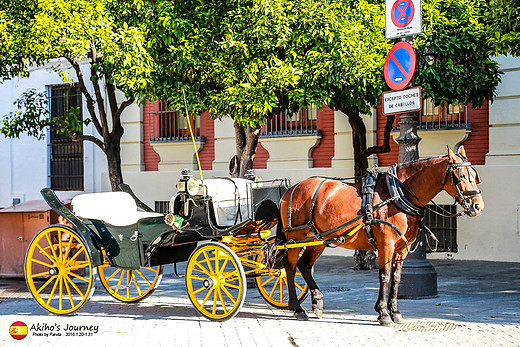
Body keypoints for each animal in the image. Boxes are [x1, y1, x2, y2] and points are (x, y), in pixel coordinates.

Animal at [280, 147, 484, 326]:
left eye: (474, 176)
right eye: (461, 176)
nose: (478, 206)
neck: (397, 195)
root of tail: (291, 189)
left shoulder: (401, 249)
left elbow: (397, 278)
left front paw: (395, 312)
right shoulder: (387, 244)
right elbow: (385, 277)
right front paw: (384, 314)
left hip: (319, 239)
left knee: (304, 265)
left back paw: (317, 302)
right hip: (295, 238)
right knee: (289, 268)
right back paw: (297, 308)